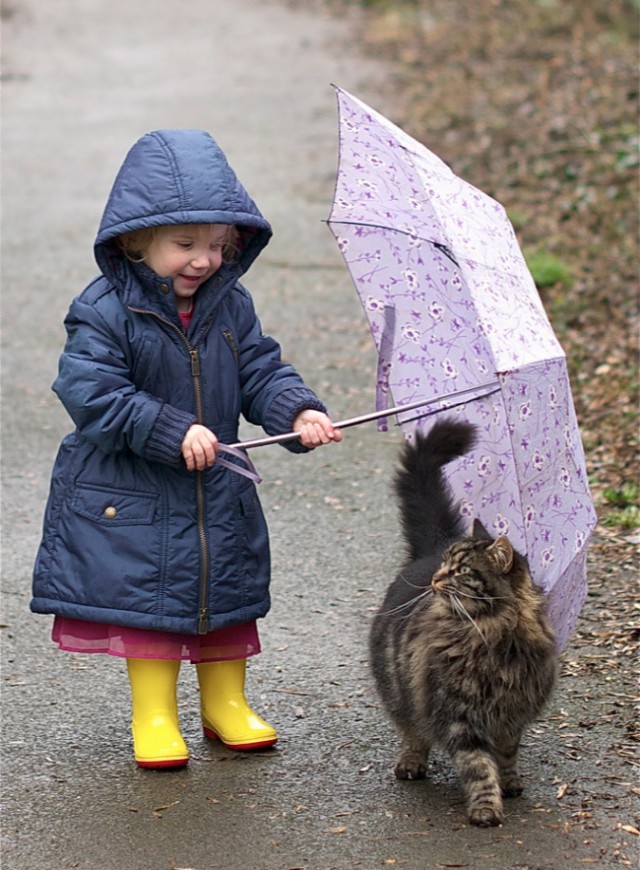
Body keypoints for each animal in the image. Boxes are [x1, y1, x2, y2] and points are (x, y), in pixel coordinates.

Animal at [368, 418, 556, 828]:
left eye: (461, 571)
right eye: (446, 566)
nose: (436, 579)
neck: (493, 635)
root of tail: (426, 550)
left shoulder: (511, 714)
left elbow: (506, 755)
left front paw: (510, 783)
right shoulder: (459, 716)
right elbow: (479, 767)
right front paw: (486, 807)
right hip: (400, 689)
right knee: (412, 730)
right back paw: (411, 763)